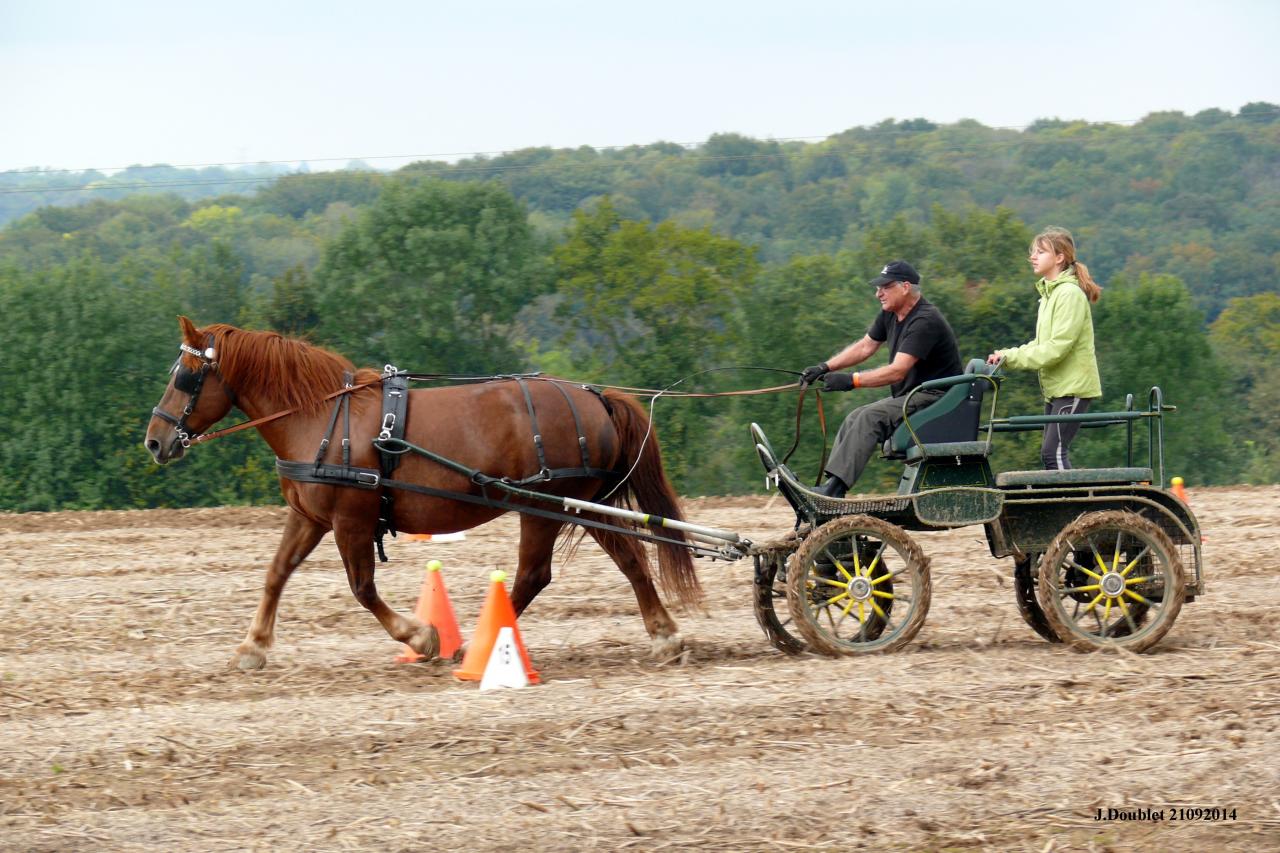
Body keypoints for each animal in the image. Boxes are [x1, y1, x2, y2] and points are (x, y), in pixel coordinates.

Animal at [144, 316, 701, 670]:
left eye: (187, 377)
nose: (155, 440)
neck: (320, 418)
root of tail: (593, 397)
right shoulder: (310, 517)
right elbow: (276, 574)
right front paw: (253, 647)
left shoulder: (351, 520)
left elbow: (362, 588)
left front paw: (421, 635)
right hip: (579, 504)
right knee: (628, 558)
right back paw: (664, 635)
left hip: (542, 504)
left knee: (535, 573)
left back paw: (475, 647)